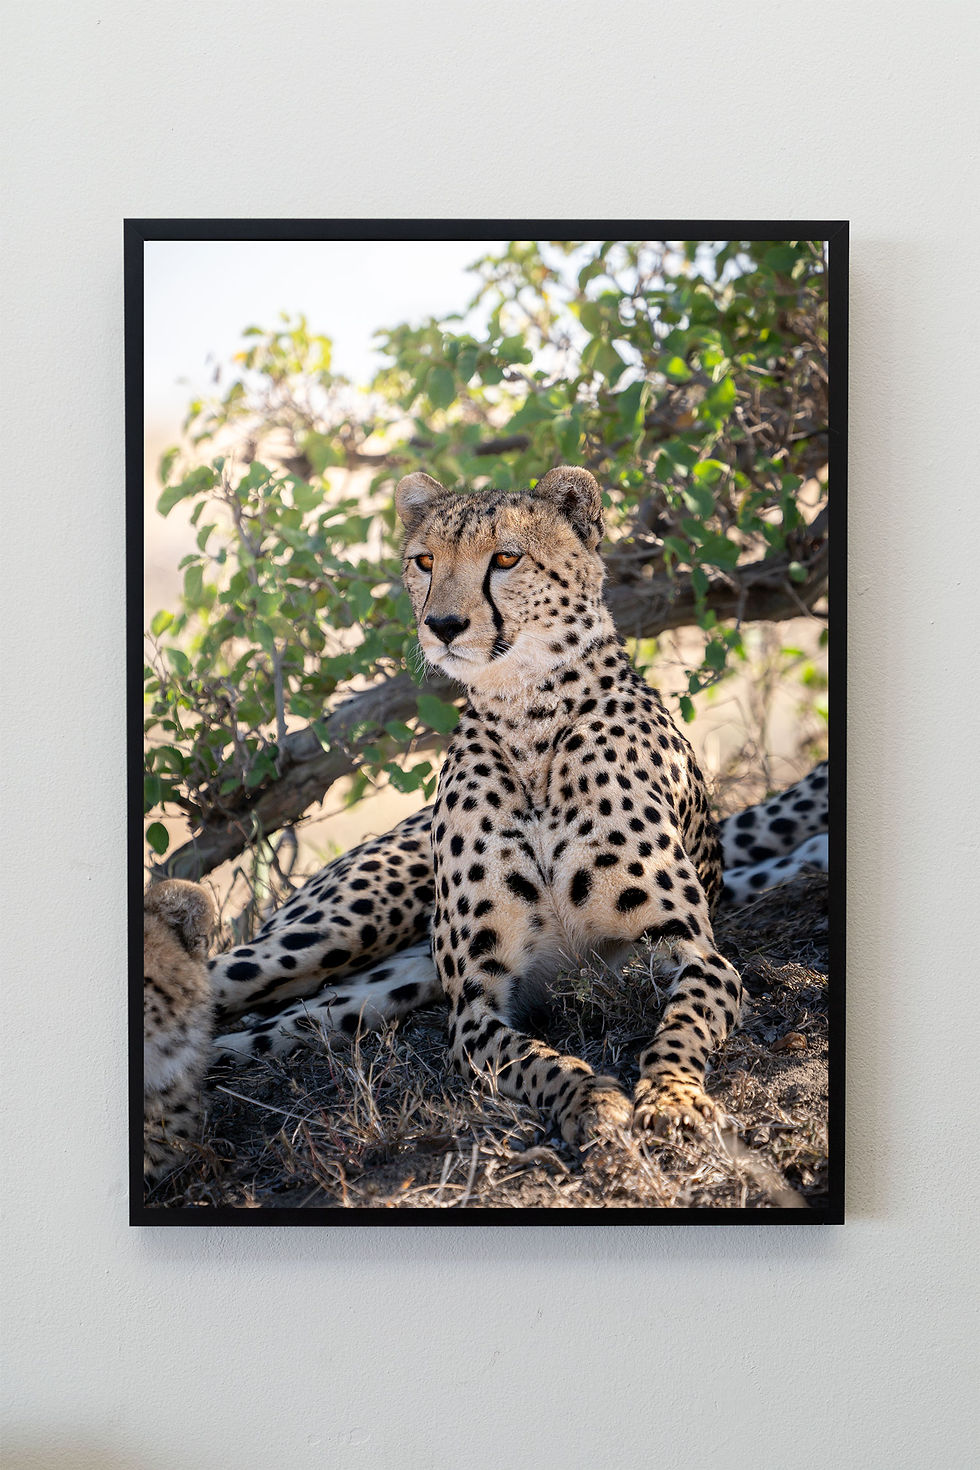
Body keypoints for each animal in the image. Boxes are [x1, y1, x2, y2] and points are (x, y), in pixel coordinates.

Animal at [207, 466, 829, 1147]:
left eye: (505, 558)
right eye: (425, 560)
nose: (442, 624)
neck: (528, 718)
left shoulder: (693, 953)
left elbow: (679, 1029)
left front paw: (671, 1098)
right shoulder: (475, 1006)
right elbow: (537, 1060)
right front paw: (591, 1101)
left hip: (365, 995)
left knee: (259, 1030)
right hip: (329, 933)